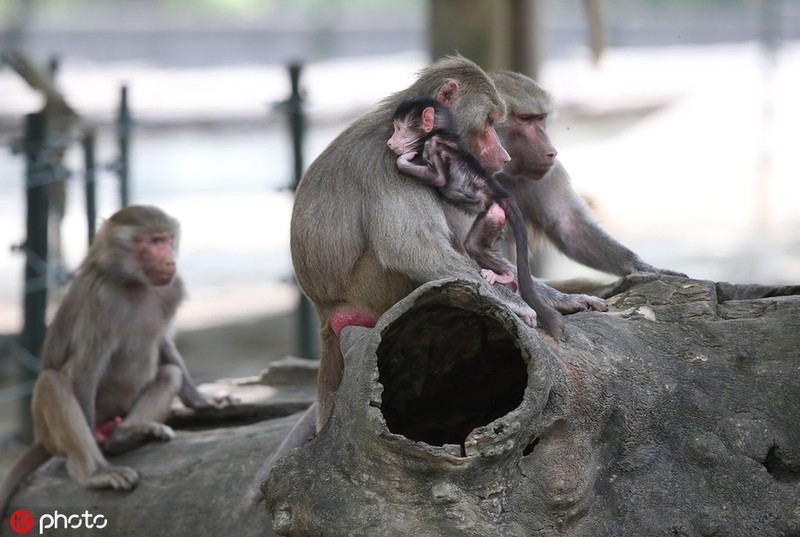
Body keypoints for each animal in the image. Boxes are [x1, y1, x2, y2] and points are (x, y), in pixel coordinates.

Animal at [0, 205, 228, 516]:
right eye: (151, 242)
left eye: (167, 238)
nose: (169, 260)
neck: (134, 282)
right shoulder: (103, 301)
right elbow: (85, 369)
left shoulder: (171, 288)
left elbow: (164, 344)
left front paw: (201, 399)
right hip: (53, 430)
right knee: (52, 382)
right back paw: (95, 471)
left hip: (119, 412)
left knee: (170, 374)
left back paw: (127, 435)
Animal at [388, 96, 564, 338]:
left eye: (398, 128)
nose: (390, 142)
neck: (440, 132)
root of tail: (500, 194)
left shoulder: (434, 144)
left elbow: (440, 178)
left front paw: (405, 158)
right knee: (473, 245)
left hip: (494, 212)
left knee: (474, 246)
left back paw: (504, 277)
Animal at [490, 70, 684, 294]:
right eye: (524, 119)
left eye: (540, 118)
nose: (551, 151)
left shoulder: (548, 174)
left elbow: (569, 226)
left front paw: (643, 267)